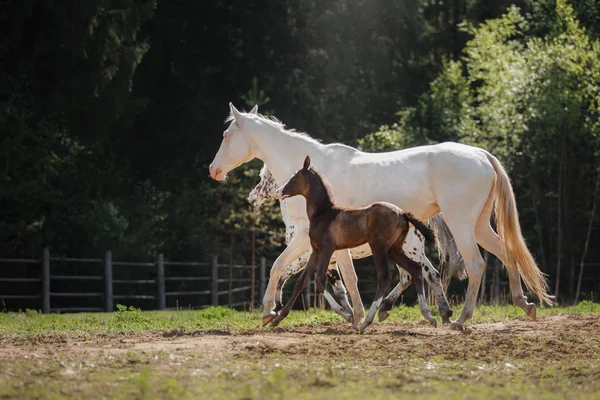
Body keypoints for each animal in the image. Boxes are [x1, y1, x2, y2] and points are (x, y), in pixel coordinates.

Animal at [248, 162, 450, 322]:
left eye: (265, 177)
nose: (251, 198)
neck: (323, 213)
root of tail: (404, 214)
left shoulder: (317, 252)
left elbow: (291, 273)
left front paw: (272, 309)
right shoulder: (321, 254)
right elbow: (322, 283)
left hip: (395, 250)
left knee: (418, 274)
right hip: (395, 250)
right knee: (413, 273)